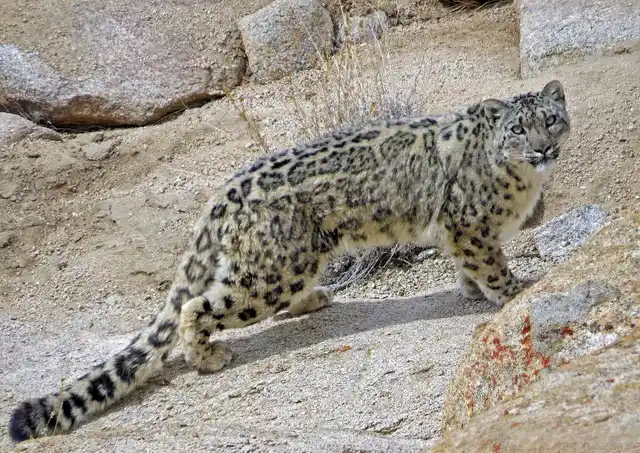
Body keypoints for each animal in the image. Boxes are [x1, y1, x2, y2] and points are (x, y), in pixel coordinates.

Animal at [8, 80, 570, 442]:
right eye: (517, 130)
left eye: (550, 120)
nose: (544, 150)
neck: (522, 183)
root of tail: (223, 192)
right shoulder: (469, 225)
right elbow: (489, 262)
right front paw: (515, 289)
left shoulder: (462, 231)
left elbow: (468, 266)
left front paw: (472, 291)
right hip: (269, 272)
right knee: (198, 306)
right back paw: (209, 357)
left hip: (294, 260)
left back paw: (313, 300)